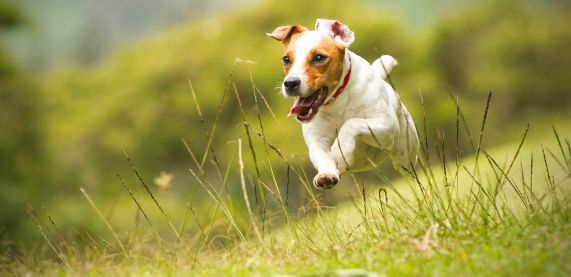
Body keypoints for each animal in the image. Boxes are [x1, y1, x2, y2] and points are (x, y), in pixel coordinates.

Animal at [268, 18, 420, 188]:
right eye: (286, 59)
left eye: (319, 57)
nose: (290, 83)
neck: (337, 101)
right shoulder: (317, 140)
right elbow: (322, 156)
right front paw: (327, 174)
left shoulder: (386, 127)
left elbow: (351, 123)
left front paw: (339, 155)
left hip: (405, 155)